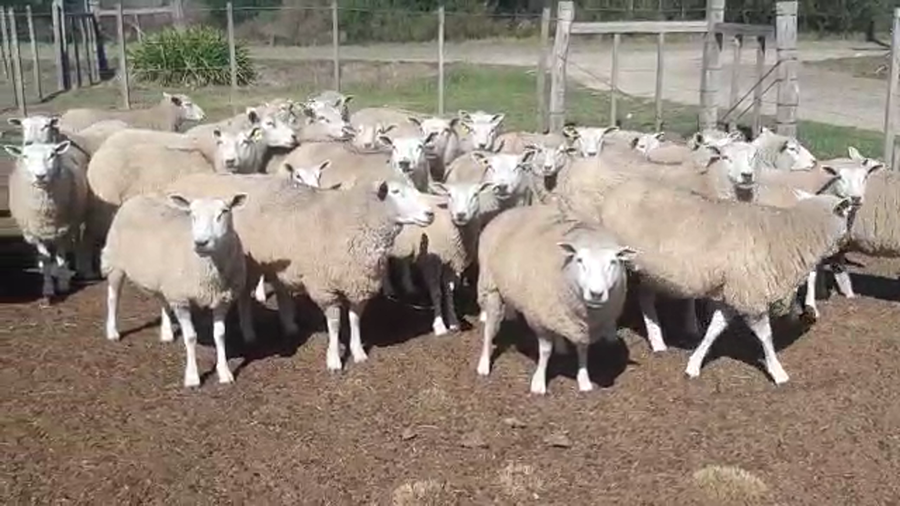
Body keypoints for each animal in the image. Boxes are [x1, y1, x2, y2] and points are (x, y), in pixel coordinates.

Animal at [3, 141, 88, 299]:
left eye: (52, 155)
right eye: (25, 156)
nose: (40, 176)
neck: (45, 212)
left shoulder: (64, 231)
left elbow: (61, 256)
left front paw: (62, 284)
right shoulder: (36, 235)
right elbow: (46, 258)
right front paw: (48, 289)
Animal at [102, 192, 253, 388]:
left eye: (224, 212)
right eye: (192, 214)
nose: (201, 243)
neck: (210, 272)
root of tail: (138, 197)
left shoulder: (222, 299)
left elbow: (219, 335)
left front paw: (224, 372)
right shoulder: (181, 300)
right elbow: (190, 337)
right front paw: (192, 377)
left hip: (164, 279)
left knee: (162, 300)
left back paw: (166, 334)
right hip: (115, 262)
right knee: (113, 297)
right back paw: (112, 332)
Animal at [164, 174, 436, 371]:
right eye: (396, 192)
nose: (430, 213)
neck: (353, 219)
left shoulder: (357, 280)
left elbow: (355, 319)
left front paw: (358, 352)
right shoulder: (325, 285)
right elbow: (334, 322)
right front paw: (334, 359)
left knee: (278, 290)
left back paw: (288, 324)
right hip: (247, 263)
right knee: (244, 297)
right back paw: (249, 332)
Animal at [475, 204, 635, 395]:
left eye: (613, 262)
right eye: (580, 260)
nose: (596, 293)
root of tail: (512, 210)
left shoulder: (580, 325)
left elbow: (583, 350)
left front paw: (584, 380)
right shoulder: (538, 319)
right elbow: (545, 351)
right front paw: (538, 383)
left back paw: (561, 347)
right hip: (490, 287)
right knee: (489, 329)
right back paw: (484, 365)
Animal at [596, 177, 853, 383]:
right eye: (847, 216)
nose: (847, 243)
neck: (790, 234)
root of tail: (616, 191)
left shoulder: (734, 292)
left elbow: (715, 328)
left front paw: (693, 364)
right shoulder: (751, 293)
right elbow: (765, 336)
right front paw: (778, 372)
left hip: (649, 271)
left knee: (645, 298)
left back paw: (657, 340)